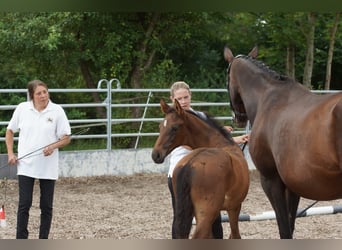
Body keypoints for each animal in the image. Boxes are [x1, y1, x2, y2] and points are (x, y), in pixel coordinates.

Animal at [152, 98, 248, 239]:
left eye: (175, 128)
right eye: (160, 127)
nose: (156, 155)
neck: (222, 145)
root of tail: (189, 165)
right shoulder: (234, 206)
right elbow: (235, 234)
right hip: (207, 214)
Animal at [224, 46, 342, 239]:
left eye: (226, 77)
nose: (237, 118)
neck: (266, 98)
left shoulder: (271, 180)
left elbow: (284, 228)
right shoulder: (293, 185)